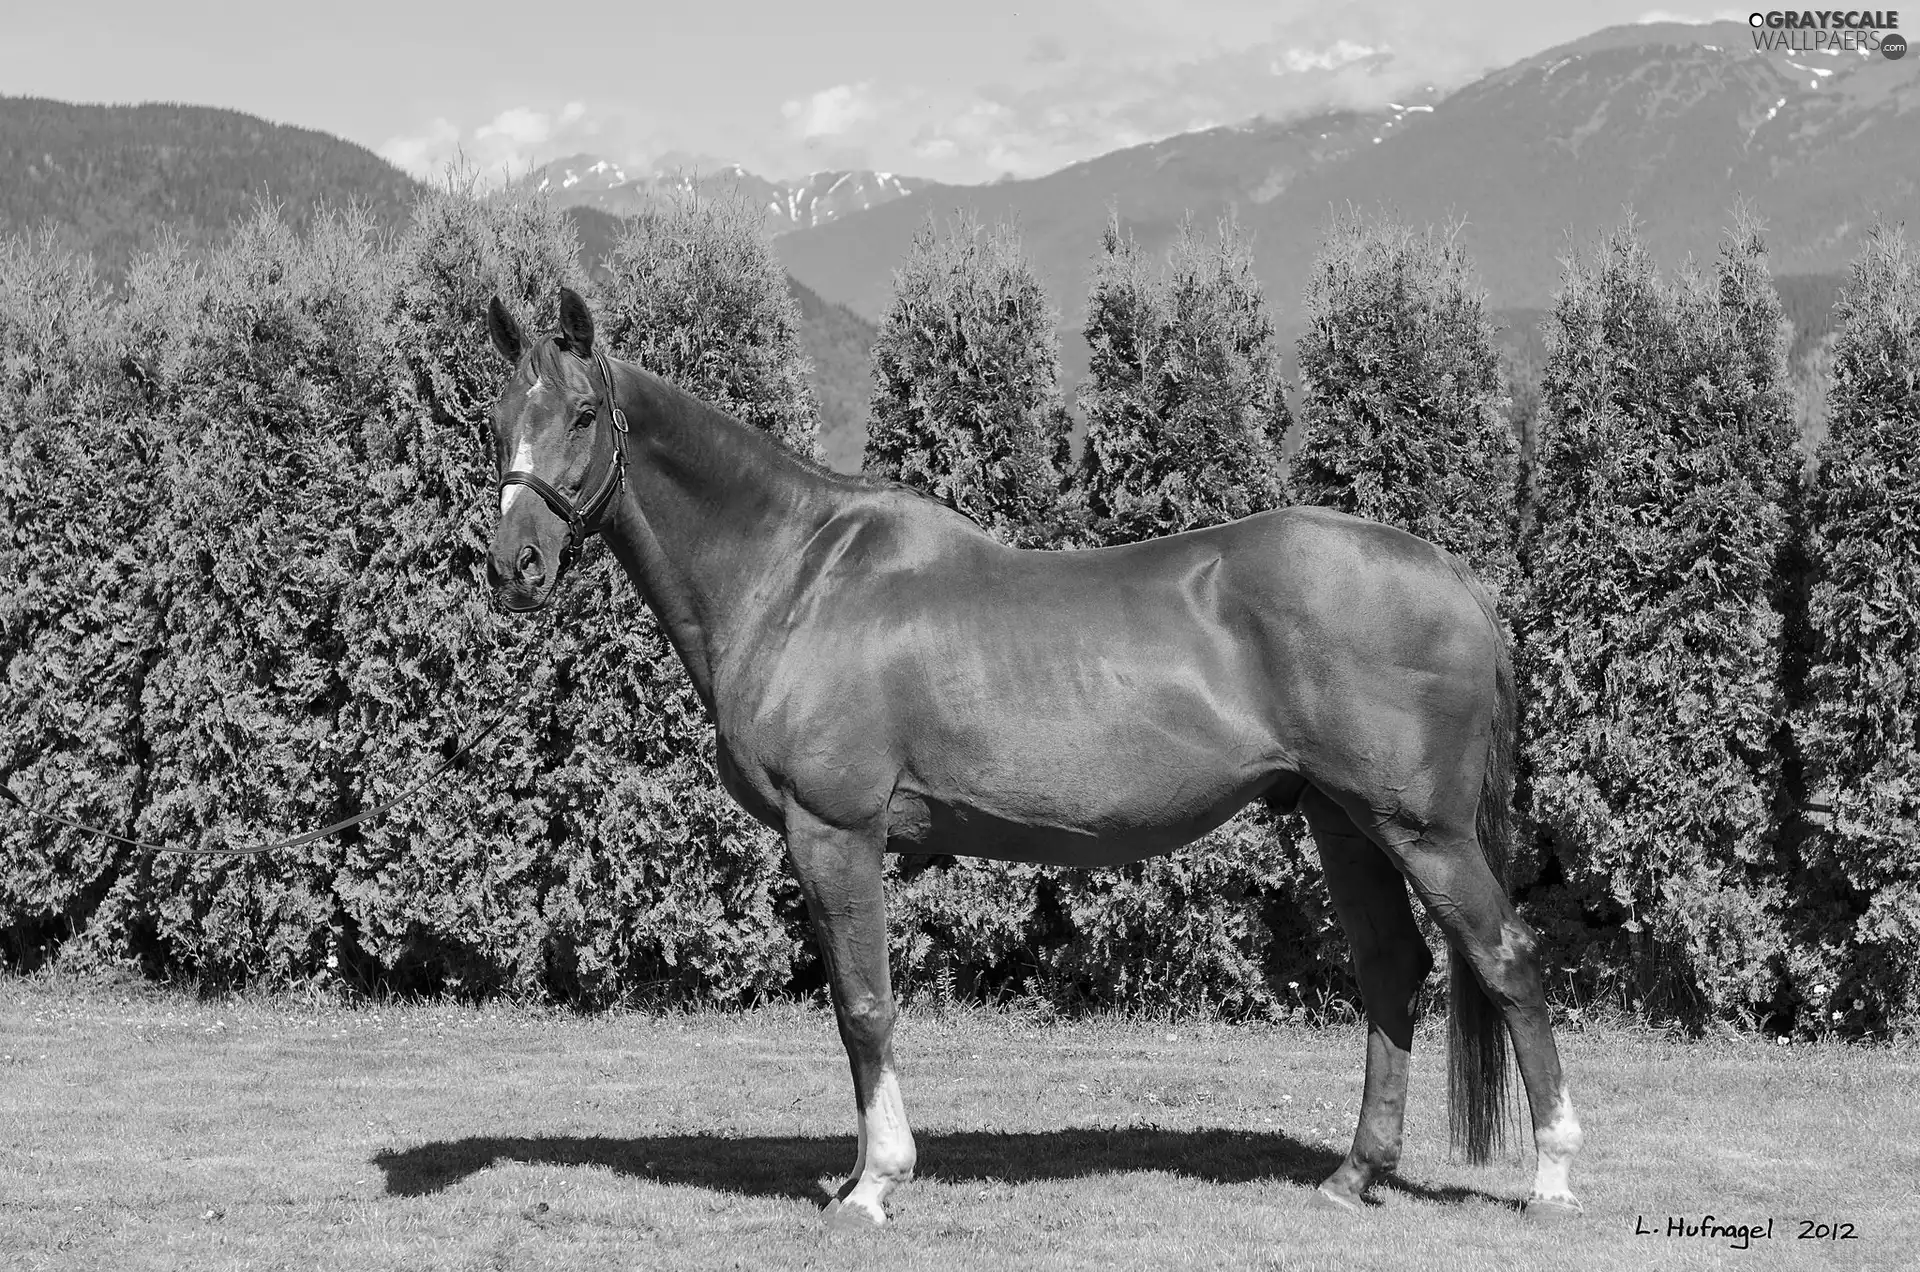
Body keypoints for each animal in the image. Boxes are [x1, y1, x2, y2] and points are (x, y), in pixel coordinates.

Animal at [483, 292, 1589, 1237]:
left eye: (582, 412)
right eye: (499, 415)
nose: (512, 567)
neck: (798, 574)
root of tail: (1451, 576)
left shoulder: (834, 831)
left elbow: (864, 1006)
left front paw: (874, 1184)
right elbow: (855, 1008)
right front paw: (860, 1173)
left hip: (1424, 830)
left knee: (1505, 959)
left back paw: (1553, 1176)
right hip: (1342, 819)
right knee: (1392, 970)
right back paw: (1355, 1175)